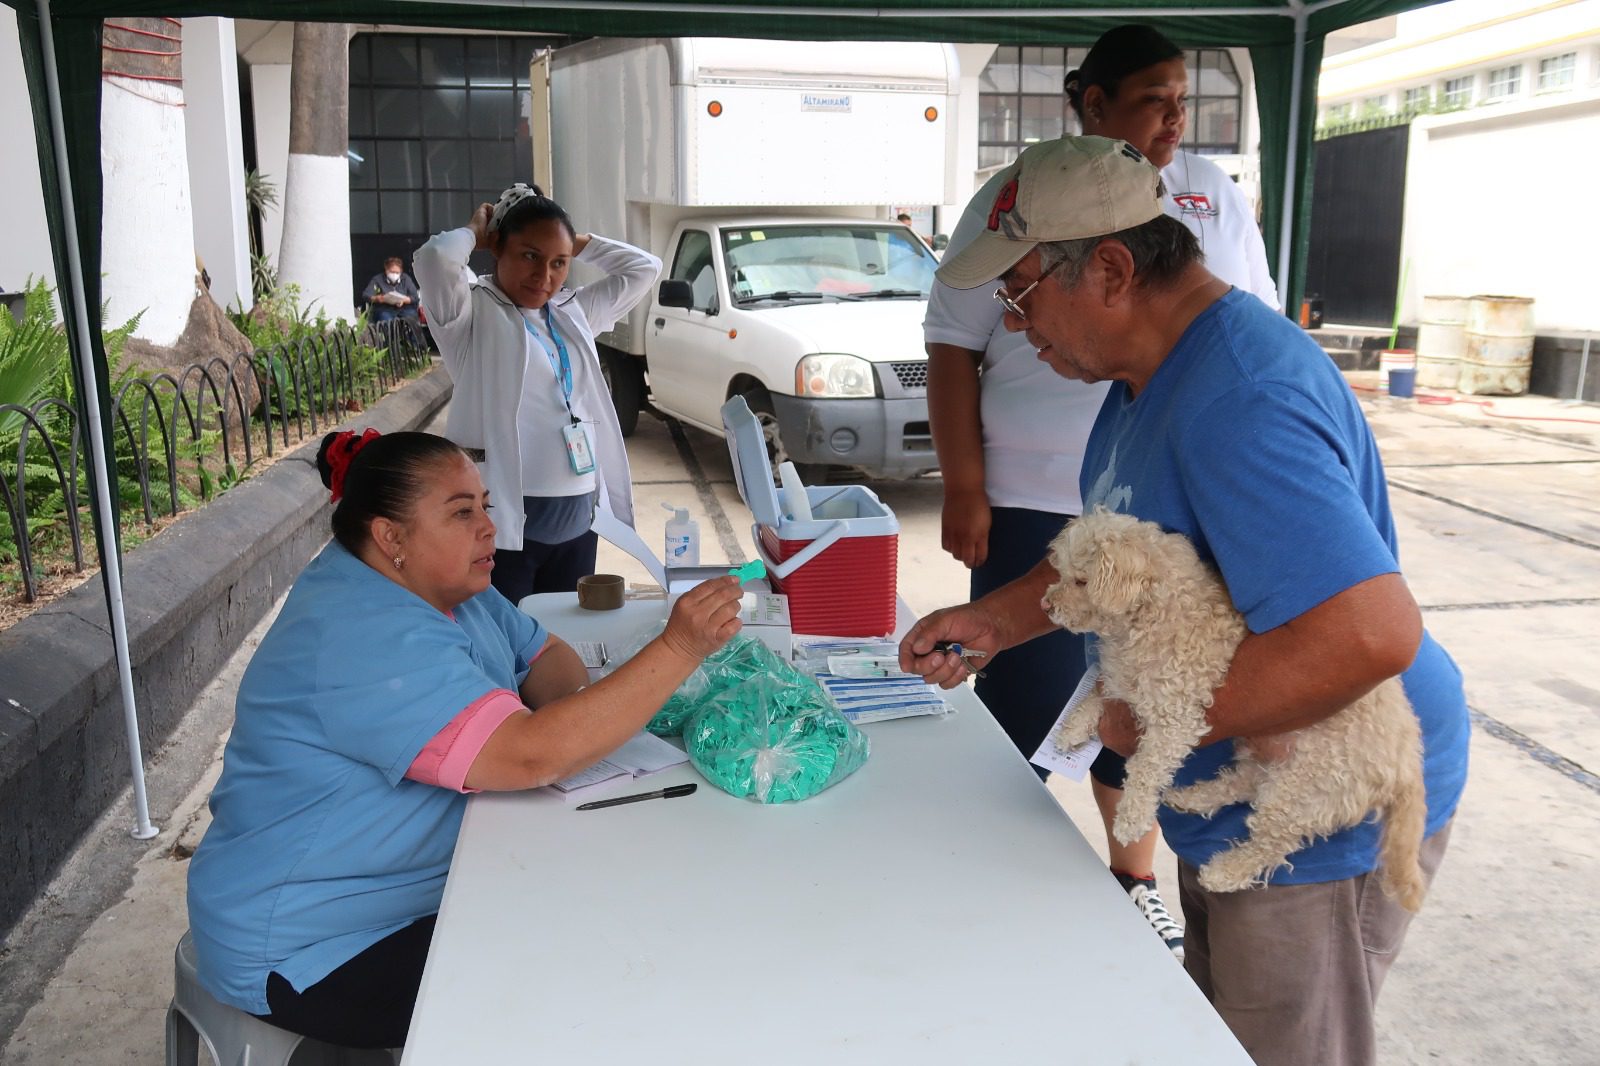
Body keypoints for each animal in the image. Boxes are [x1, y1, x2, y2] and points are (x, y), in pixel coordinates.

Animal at [1043, 505, 1433, 902]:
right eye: (1062, 572)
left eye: (1080, 581)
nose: (1047, 604)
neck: (1151, 612)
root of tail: (1408, 761)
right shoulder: (1123, 678)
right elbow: (1100, 694)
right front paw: (1073, 726)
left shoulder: (1176, 716)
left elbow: (1145, 767)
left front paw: (1132, 817)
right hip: (1275, 758)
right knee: (1244, 781)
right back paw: (1193, 798)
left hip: (1305, 788)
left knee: (1272, 841)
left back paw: (1226, 872)